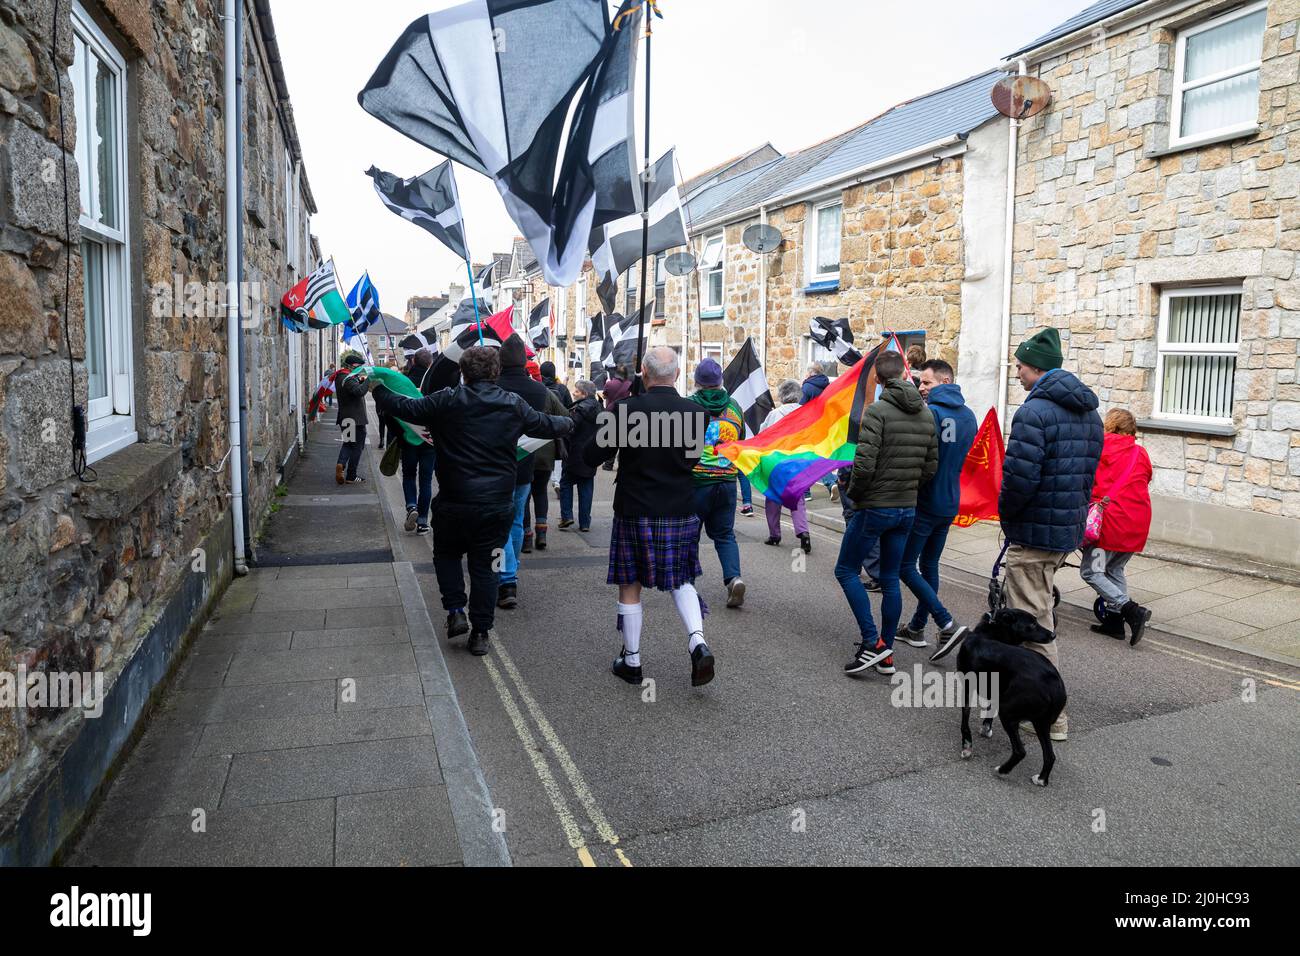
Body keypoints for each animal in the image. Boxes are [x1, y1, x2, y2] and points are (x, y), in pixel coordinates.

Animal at [956, 608, 1066, 790]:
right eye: (1032, 624)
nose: (1053, 634)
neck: (989, 632)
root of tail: (1054, 683)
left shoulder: (967, 686)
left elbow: (965, 720)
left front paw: (967, 747)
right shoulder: (995, 691)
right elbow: (989, 713)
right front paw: (985, 729)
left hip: (1008, 713)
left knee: (1020, 751)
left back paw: (1002, 770)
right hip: (1041, 723)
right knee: (1050, 756)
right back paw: (1041, 779)